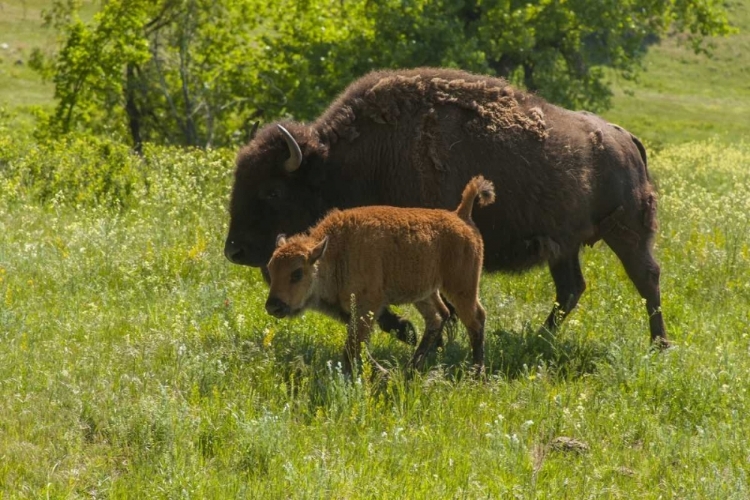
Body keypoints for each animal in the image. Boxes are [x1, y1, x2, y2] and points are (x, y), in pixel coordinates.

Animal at [225, 66, 668, 348]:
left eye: (272, 191)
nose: (234, 250)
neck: (342, 162)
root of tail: (626, 139)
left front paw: (425, 338)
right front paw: (411, 333)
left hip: (626, 231)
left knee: (646, 278)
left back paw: (659, 344)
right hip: (564, 246)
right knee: (571, 288)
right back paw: (537, 339)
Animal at [266, 176, 500, 376]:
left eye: (297, 273)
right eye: (271, 269)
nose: (273, 306)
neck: (335, 251)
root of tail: (460, 215)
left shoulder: (368, 306)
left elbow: (353, 348)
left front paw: (380, 374)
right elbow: (357, 346)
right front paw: (383, 371)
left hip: (462, 287)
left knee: (475, 319)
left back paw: (476, 374)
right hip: (425, 293)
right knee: (438, 316)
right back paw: (411, 368)